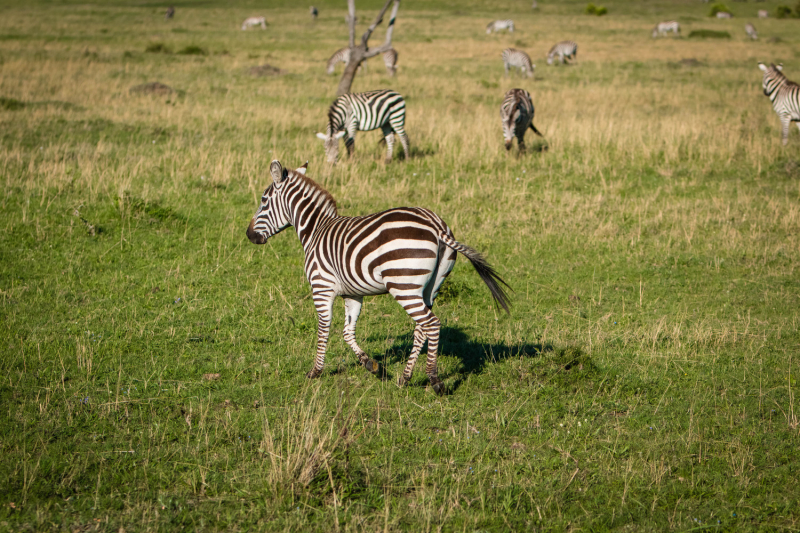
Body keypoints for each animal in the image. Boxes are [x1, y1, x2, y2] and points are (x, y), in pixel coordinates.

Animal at [244, 160, 510, 392]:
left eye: (263, 201)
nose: (248, 235)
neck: (316, 230)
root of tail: (436, 225)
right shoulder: (352, 294)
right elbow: (347, 332)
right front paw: (372, 365)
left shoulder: (321, 287)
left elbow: (324, 328)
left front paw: (315, 371)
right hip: (430, 287)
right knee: (421, 327)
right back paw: (404, 378)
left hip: (403, 285)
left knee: (431, 324)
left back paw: (434, 380)